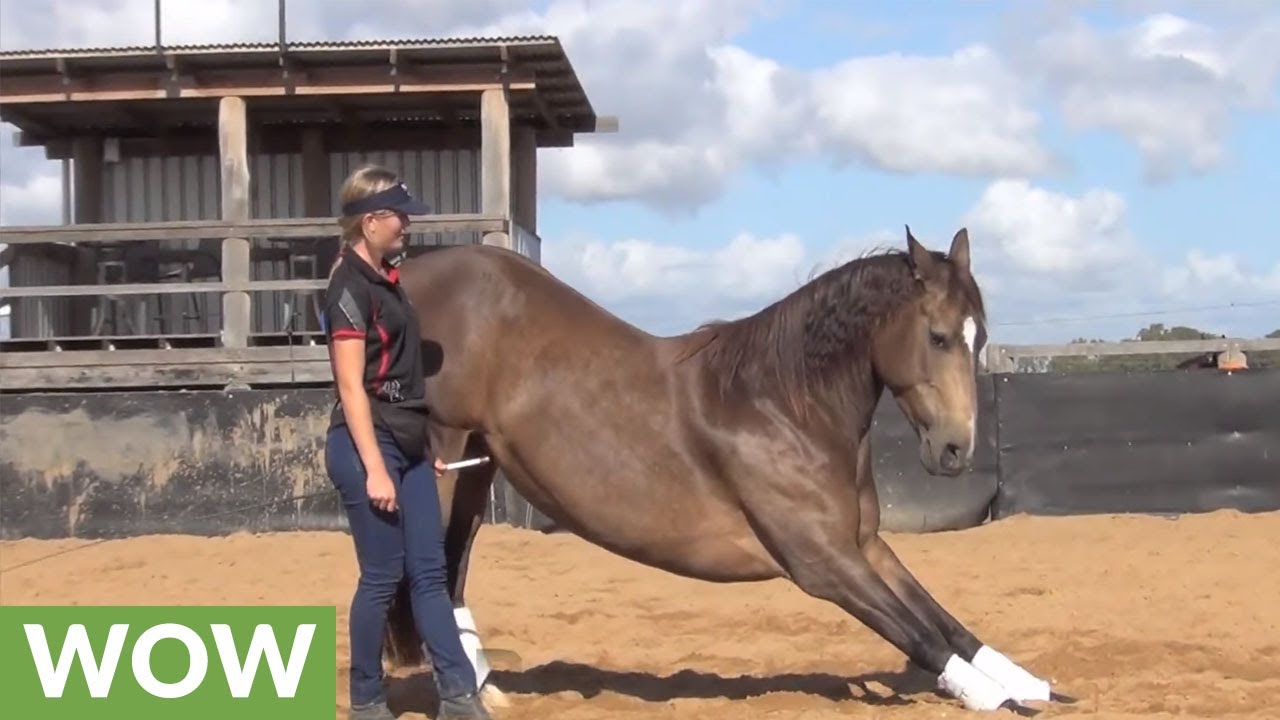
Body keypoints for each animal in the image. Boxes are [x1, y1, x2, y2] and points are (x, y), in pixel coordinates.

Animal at [379, 226, 1069, 714]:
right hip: (439, 461)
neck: (780, 406)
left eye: (980, 337)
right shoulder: (822, 564)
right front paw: (996, 697)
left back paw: (484, 687)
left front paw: (1035, 684)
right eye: (938, 336)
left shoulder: (864, 545)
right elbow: (921, 636)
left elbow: (946, 622)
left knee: (452, 571)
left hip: (474, 466)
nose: (957, 450)